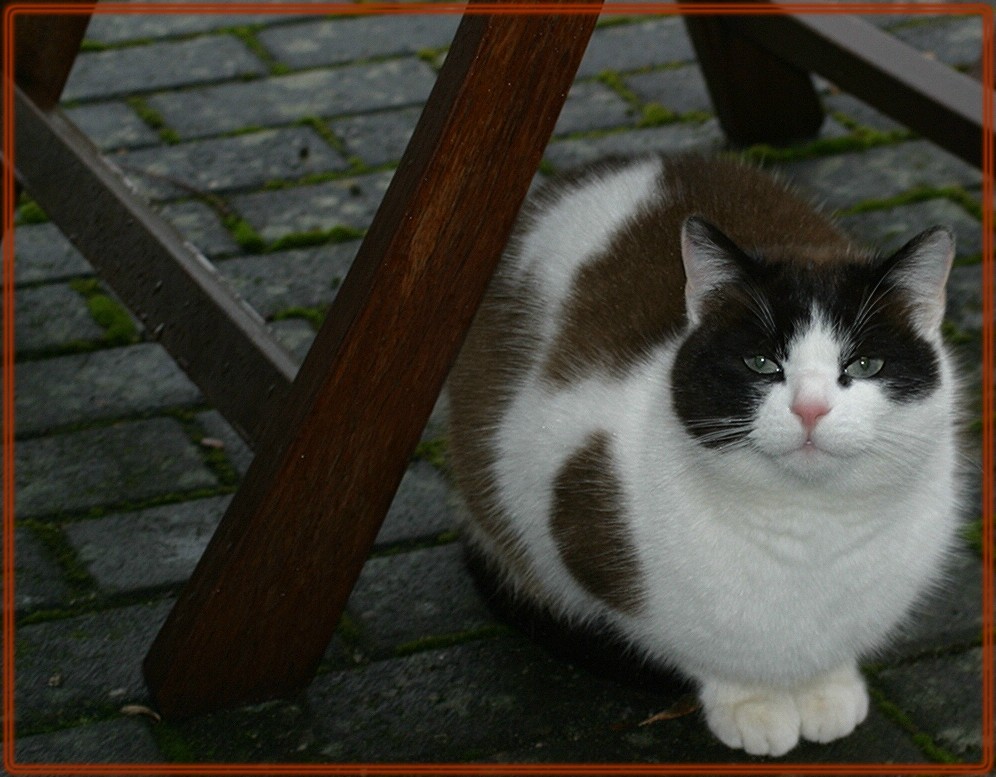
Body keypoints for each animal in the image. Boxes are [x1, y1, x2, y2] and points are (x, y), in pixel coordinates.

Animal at [448, 155, 960, 756]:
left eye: (865, 365)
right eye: (761, 363)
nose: (810, 409)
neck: (807, 531)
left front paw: (827, 689)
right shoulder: (556, 482)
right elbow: (698, 650)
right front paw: (751, 704)